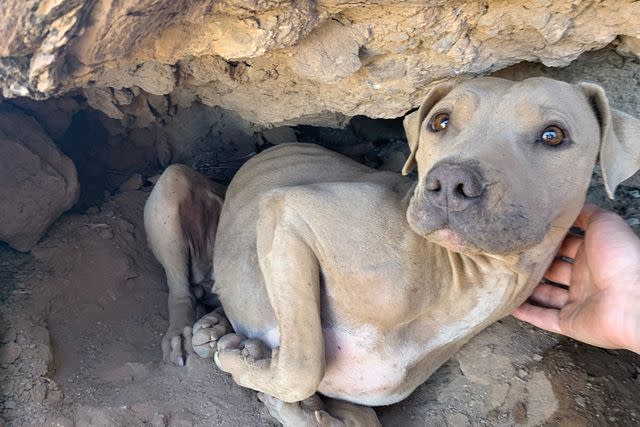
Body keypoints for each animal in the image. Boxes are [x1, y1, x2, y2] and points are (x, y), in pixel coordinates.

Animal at [144, 77, 640, 427]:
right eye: (440, 122)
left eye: (554, 135)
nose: (450, 183)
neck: (459, 280)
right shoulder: (288, 212)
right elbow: (302, 363)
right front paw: (247, 363)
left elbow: (349, 416)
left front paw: (281, 390)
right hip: (169, 189)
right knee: (180, 286)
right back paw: (189, 330)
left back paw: (216, 327)